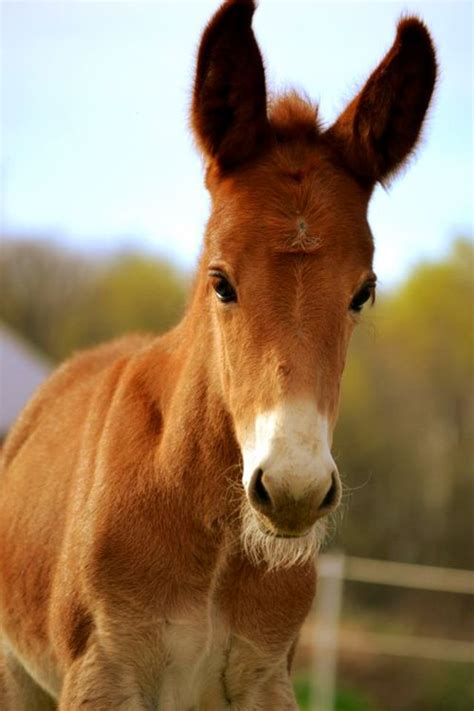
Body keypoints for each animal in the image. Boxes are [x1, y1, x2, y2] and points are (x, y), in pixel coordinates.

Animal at [0, 2, 436, 708]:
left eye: (363, 292)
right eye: (220, 281)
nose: (292, 491)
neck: (216, 540)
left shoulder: (265, 678)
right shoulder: (102, 677)